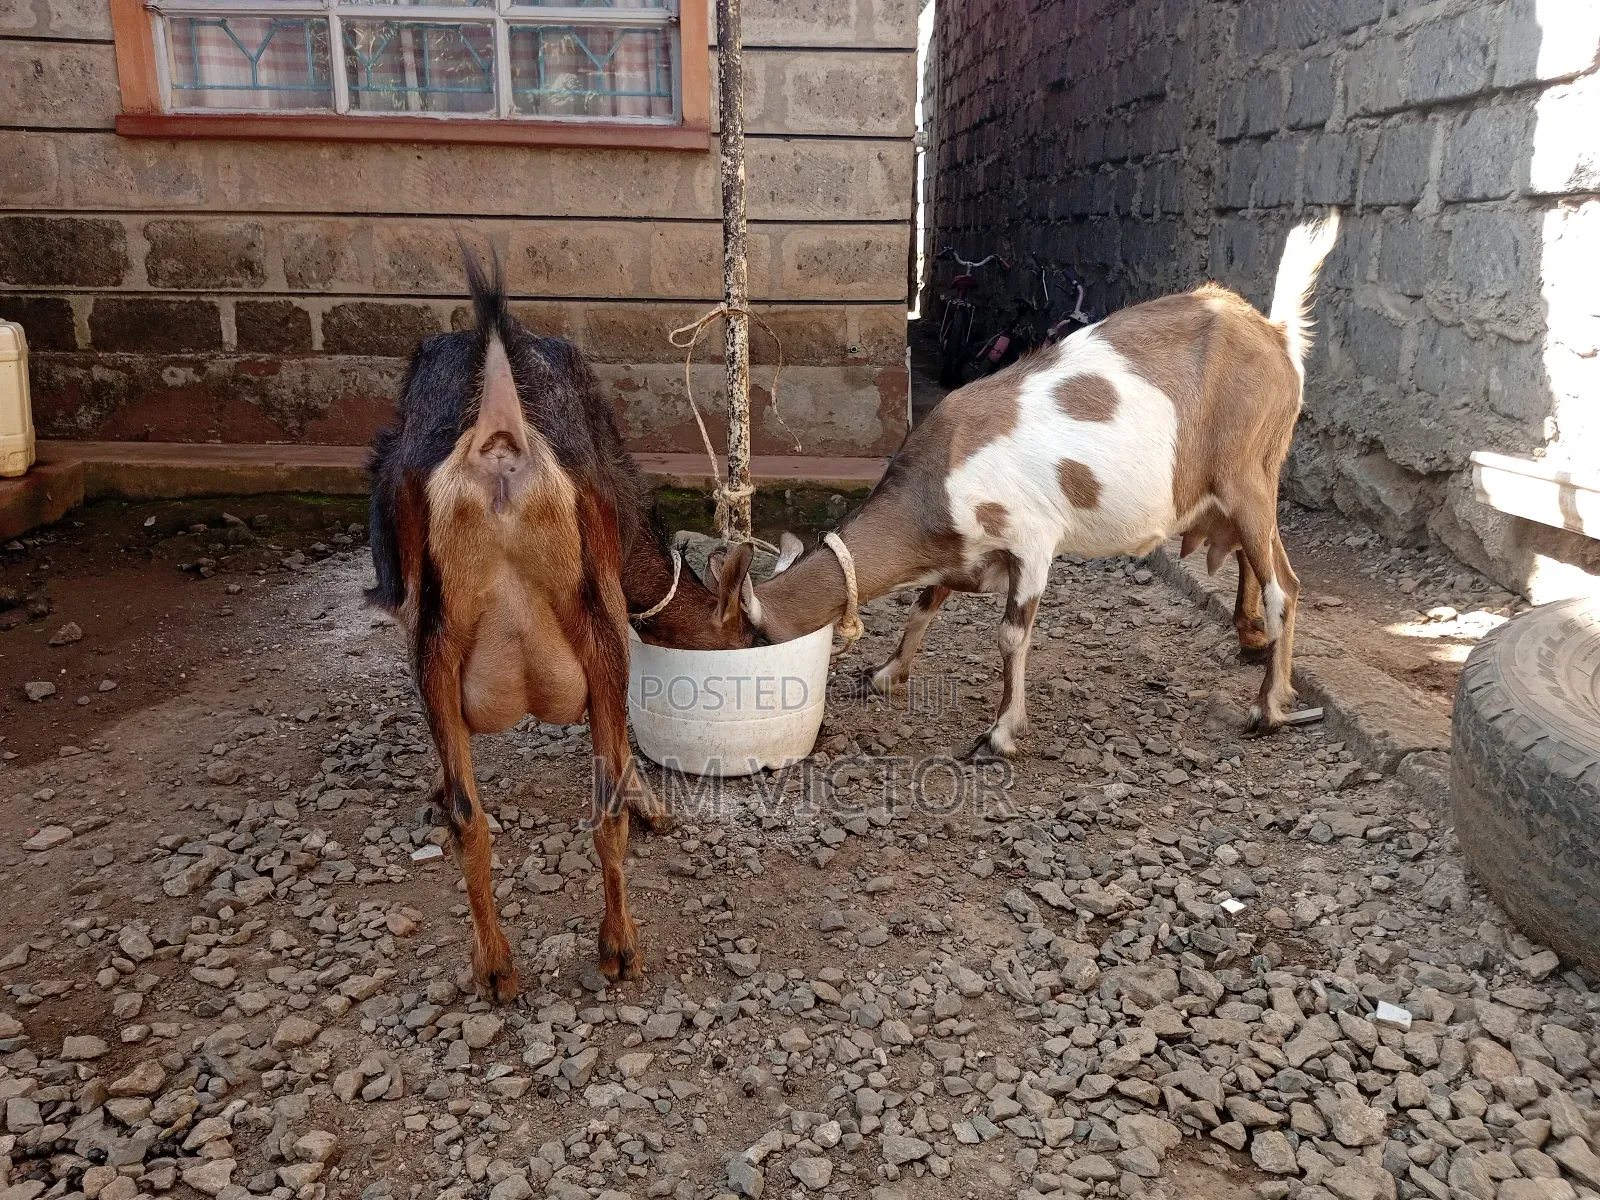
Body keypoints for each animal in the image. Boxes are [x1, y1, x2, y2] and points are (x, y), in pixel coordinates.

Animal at [366, 255, 752, 999]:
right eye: (748, 637)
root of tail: (499, 437)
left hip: (439, 641)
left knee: (471, 817)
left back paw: (498, 966)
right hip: (583, 623)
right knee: (588, 811)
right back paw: (615, 948)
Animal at [714, 213, 1341, 757]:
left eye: (731, 639)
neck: (936, 485)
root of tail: (1277, 334)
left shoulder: (1031, 543)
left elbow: (1010, 637)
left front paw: (1000, 734)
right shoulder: (958, 555)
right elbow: (922, 606)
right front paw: (886, 673)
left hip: (1246, 476)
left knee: (1284, 587)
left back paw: (1267, 709)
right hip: (1243, 483)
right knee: (1256, 563)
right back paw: (1253, 647)